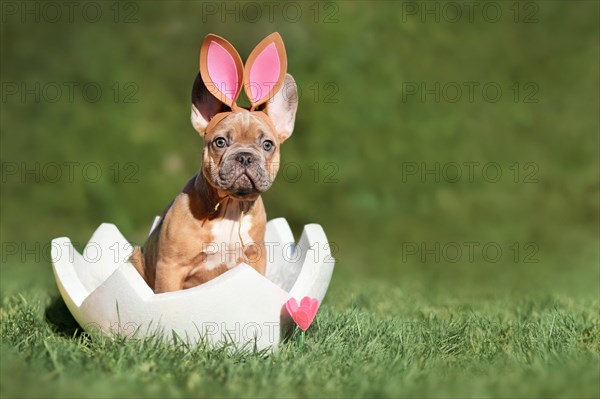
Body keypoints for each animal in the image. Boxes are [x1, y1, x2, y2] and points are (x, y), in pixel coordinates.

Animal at [129, 33, 298, 294]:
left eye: (268, 145)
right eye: (220, 142)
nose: (245, 156)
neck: (230, 206)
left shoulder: (254, 264)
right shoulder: (170, 267)